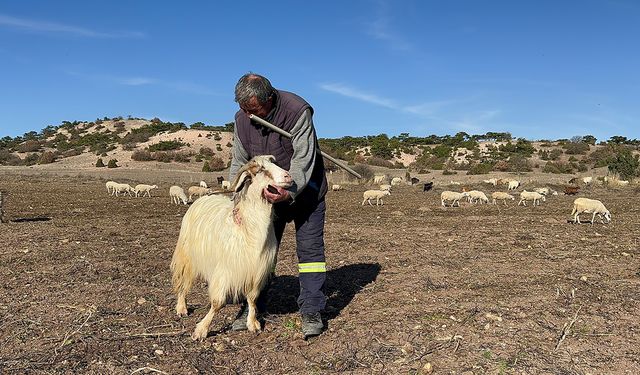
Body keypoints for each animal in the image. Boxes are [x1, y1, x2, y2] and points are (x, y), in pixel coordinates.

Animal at [169, 154, 292, 340]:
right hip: (187, 255)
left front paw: (252, 323)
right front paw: (201, 329)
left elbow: (252, 298)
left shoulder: (255, 270)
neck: (249, 229)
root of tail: (204, 197)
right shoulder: (225, 269)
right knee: (183, 281)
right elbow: (217, 302)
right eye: (261, 169)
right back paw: (182, 308)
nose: (288, 177)